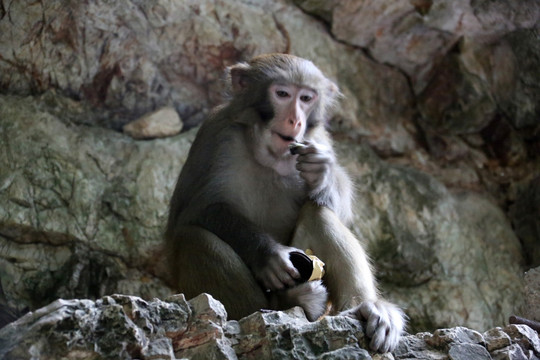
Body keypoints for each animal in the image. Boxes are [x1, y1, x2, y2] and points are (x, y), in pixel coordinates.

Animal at [165, 54, 404, 352]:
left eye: (306, 98)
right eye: (282, 94)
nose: (295, 121)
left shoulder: (317, 139)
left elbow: (338, 210)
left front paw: (321, 172)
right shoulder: (217, 135)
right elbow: (198, 209)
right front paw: (269, 255)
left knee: (318, 212)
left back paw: (366, 308)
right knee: (193, 238)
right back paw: (286, 303)